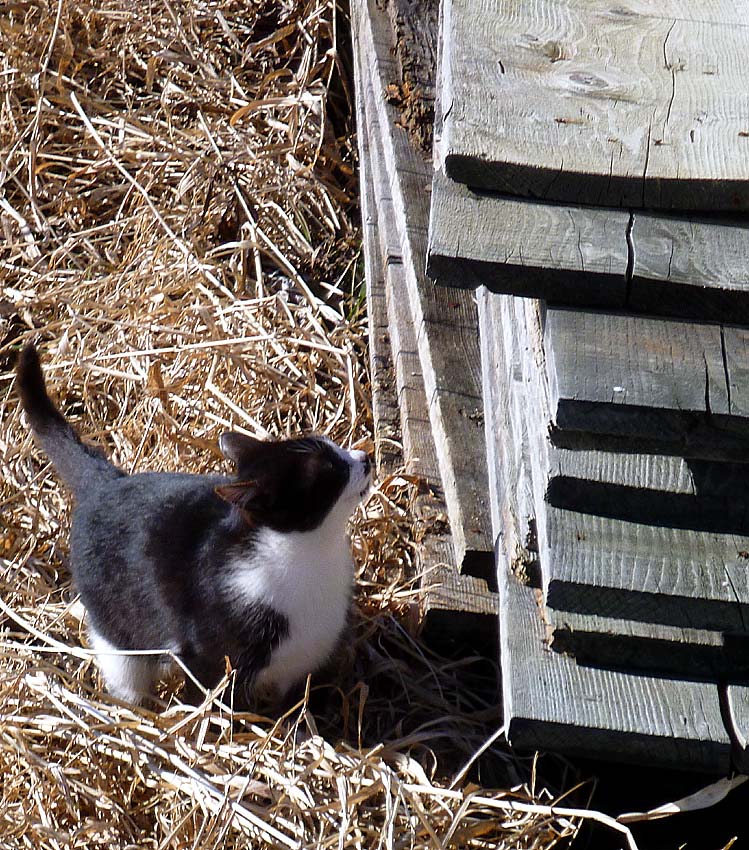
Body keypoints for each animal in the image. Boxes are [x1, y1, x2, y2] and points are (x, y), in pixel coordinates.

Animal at [16, 343, 371, 707]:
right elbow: (212, 701)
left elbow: (287, 705)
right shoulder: (209, 659)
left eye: (337, 450)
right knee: (125, 671)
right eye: (330, 470)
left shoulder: (296, 665)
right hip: (116, 628)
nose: (365, 458)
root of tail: (107, 482)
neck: (313, 553)